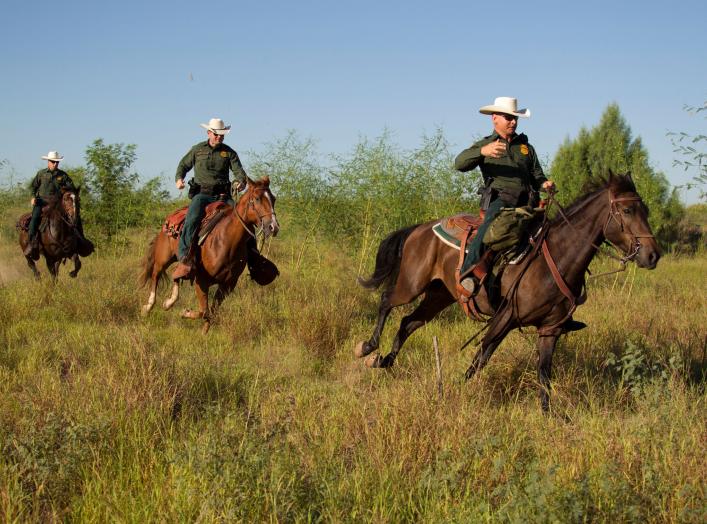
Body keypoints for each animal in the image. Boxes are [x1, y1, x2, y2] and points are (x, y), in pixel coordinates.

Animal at [138, 176, 280, 332]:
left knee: (177, 275)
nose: (273, 227)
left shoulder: (227, 285)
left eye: (273, 199)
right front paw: (185, 312)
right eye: (257, 199)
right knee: (155, 275)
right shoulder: (201, 281)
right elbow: (203, 311)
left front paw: (204, 333)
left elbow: (211, 312)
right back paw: (147, 307)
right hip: (164, 258)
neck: (227, 241)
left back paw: (169, 301)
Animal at [356, 174, 660, 412]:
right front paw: (455, 391)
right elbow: (480, 359)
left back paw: (384, 361)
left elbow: (544, 373)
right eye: (628, 211)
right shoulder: (505, 318)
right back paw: (368, 348)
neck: (556, 257)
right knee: (386, 301)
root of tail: (421, 228)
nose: (652, 255)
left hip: (439, 295)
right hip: (412, 285)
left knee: (409, 322)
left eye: (645, 209)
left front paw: (551, 416)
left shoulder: (550, 329)